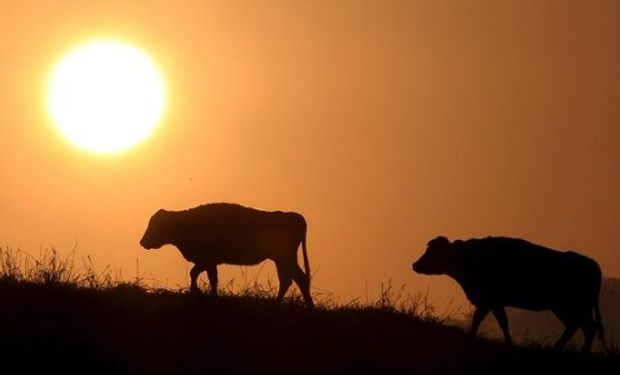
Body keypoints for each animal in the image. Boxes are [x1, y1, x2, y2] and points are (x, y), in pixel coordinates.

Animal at [141, 204, 314, 310]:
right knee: (289, 279)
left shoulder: (207, 260)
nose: (142, 242)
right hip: (283, 259)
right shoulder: (210, 262)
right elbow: (210, 278)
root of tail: (294, 216)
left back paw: (308, 307)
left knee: (298, 278)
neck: (185, 224)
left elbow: (197, 274)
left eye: (155, 225)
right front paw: (209, 295)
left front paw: (197, 292)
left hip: (285, 258)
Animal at [410, 236, 608, 354]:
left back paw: (576, 351)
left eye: (433, 252)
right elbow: (492, 321)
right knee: (581, 326)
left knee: (586, 326)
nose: (415, 265)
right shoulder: (491, 302)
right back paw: (562, 348)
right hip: (568, 307)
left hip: (570, 306)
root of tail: (593, 264)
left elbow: (489, 320)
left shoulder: (490, 300)